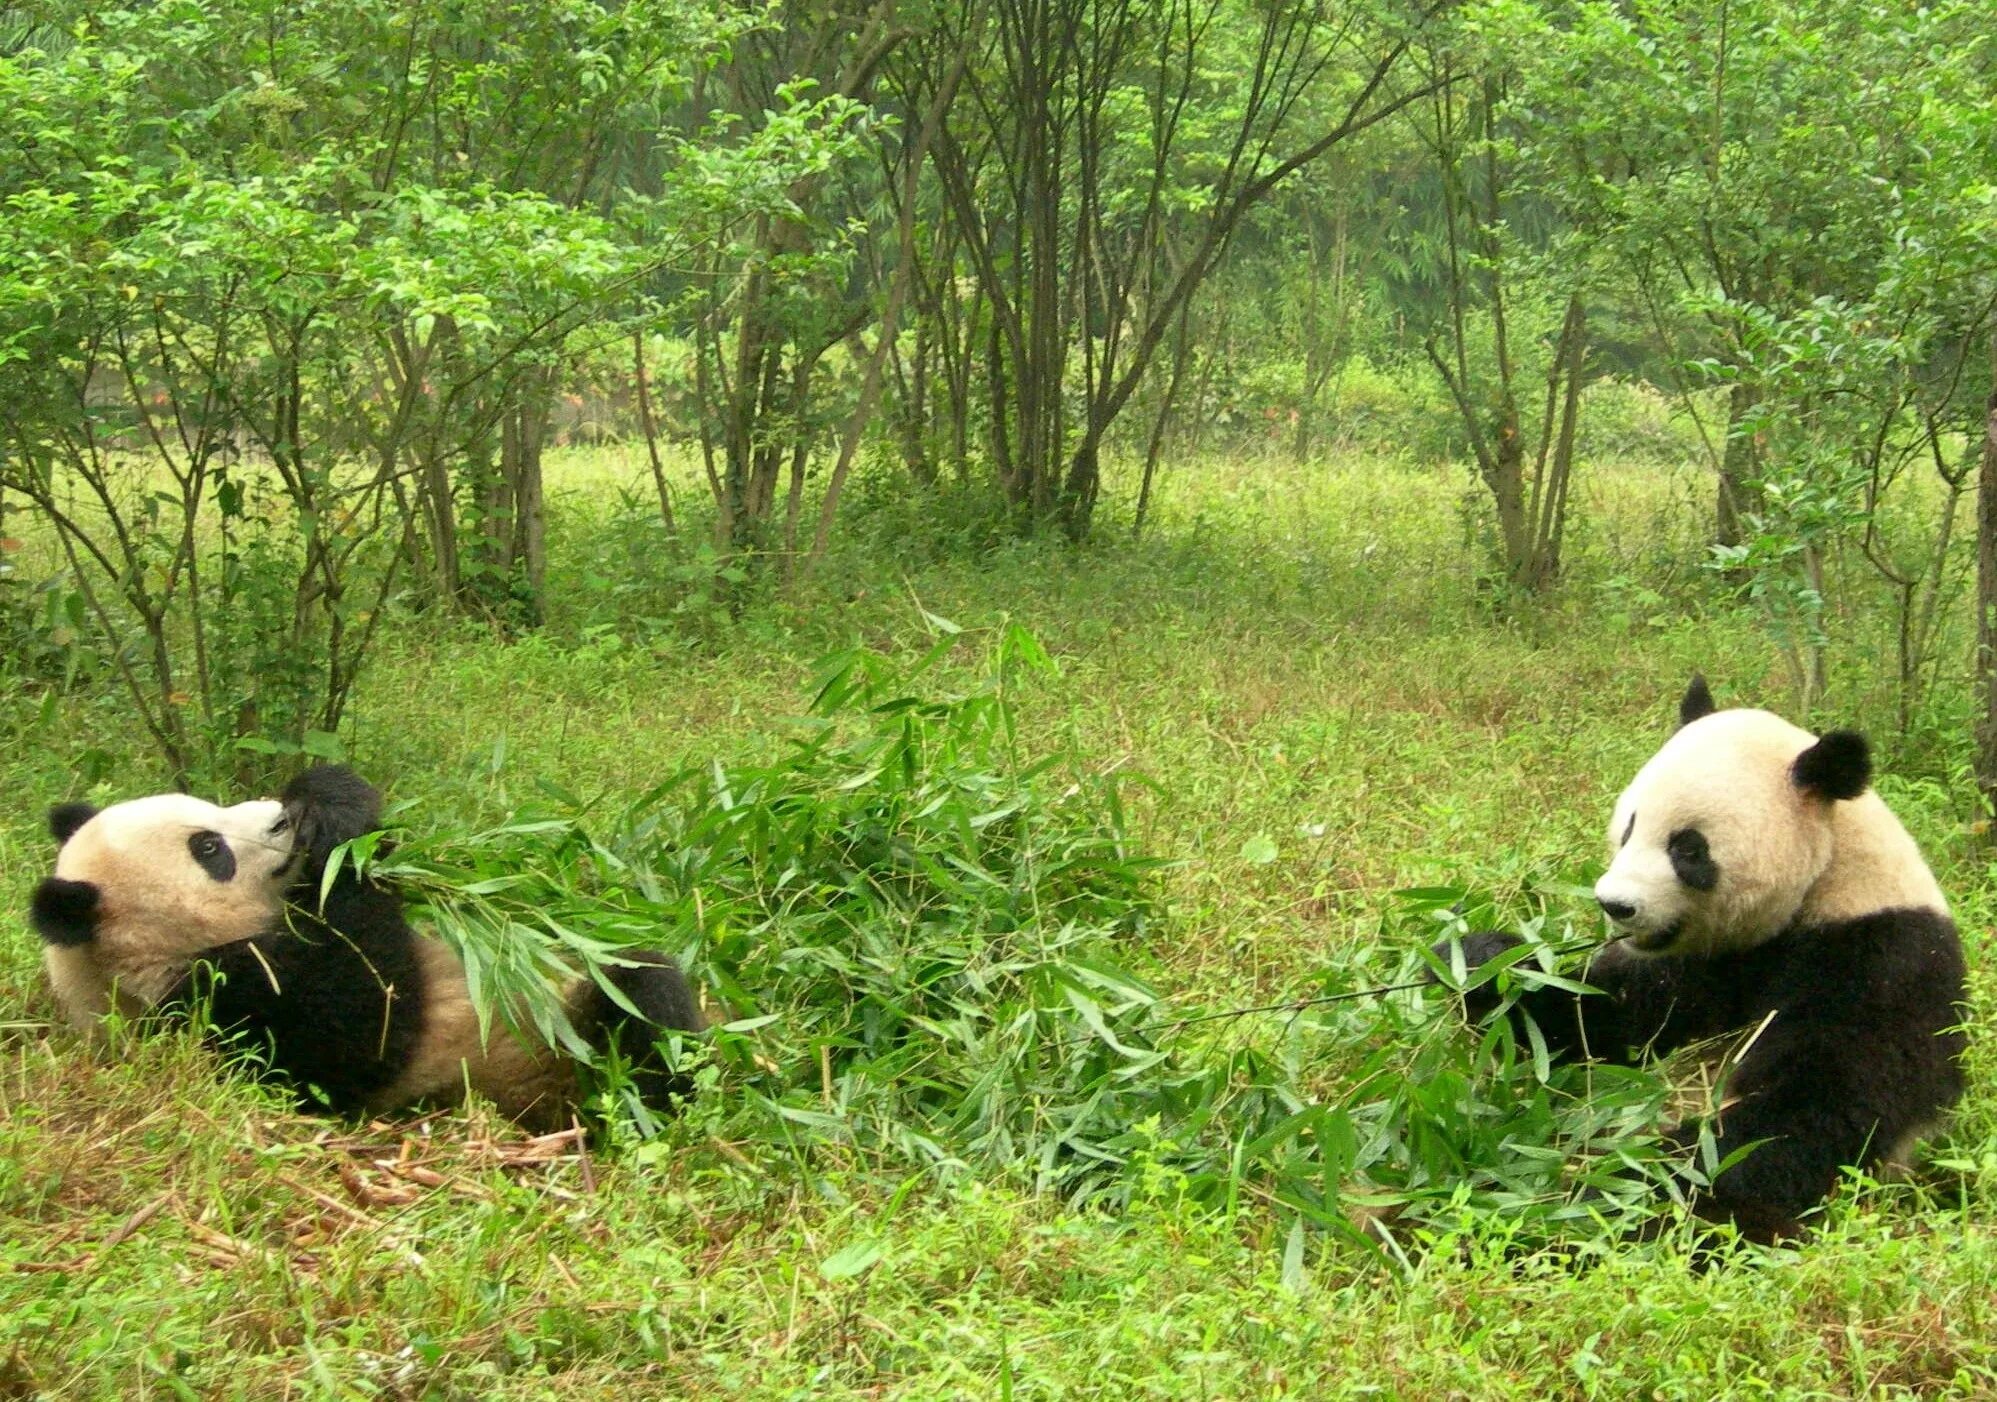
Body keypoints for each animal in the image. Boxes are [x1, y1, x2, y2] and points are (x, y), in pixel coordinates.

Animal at [27, 762, 706, 1134]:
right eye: (209, 848)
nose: (280, 817)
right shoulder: (221, 1005)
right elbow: (365, 1024)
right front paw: (338, 821)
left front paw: (321, 792)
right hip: (550, 1068)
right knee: (639, 1018)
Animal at [1437, 679, 1965, 1238]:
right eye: (1629, 828)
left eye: (1688, 849)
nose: (1615, 905)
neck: (1827, 877)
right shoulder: (1711, 959)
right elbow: (1608, 1017)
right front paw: (1479, 962)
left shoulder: (1882, 958)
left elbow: (1816, 1109)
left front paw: (1624, 1183)